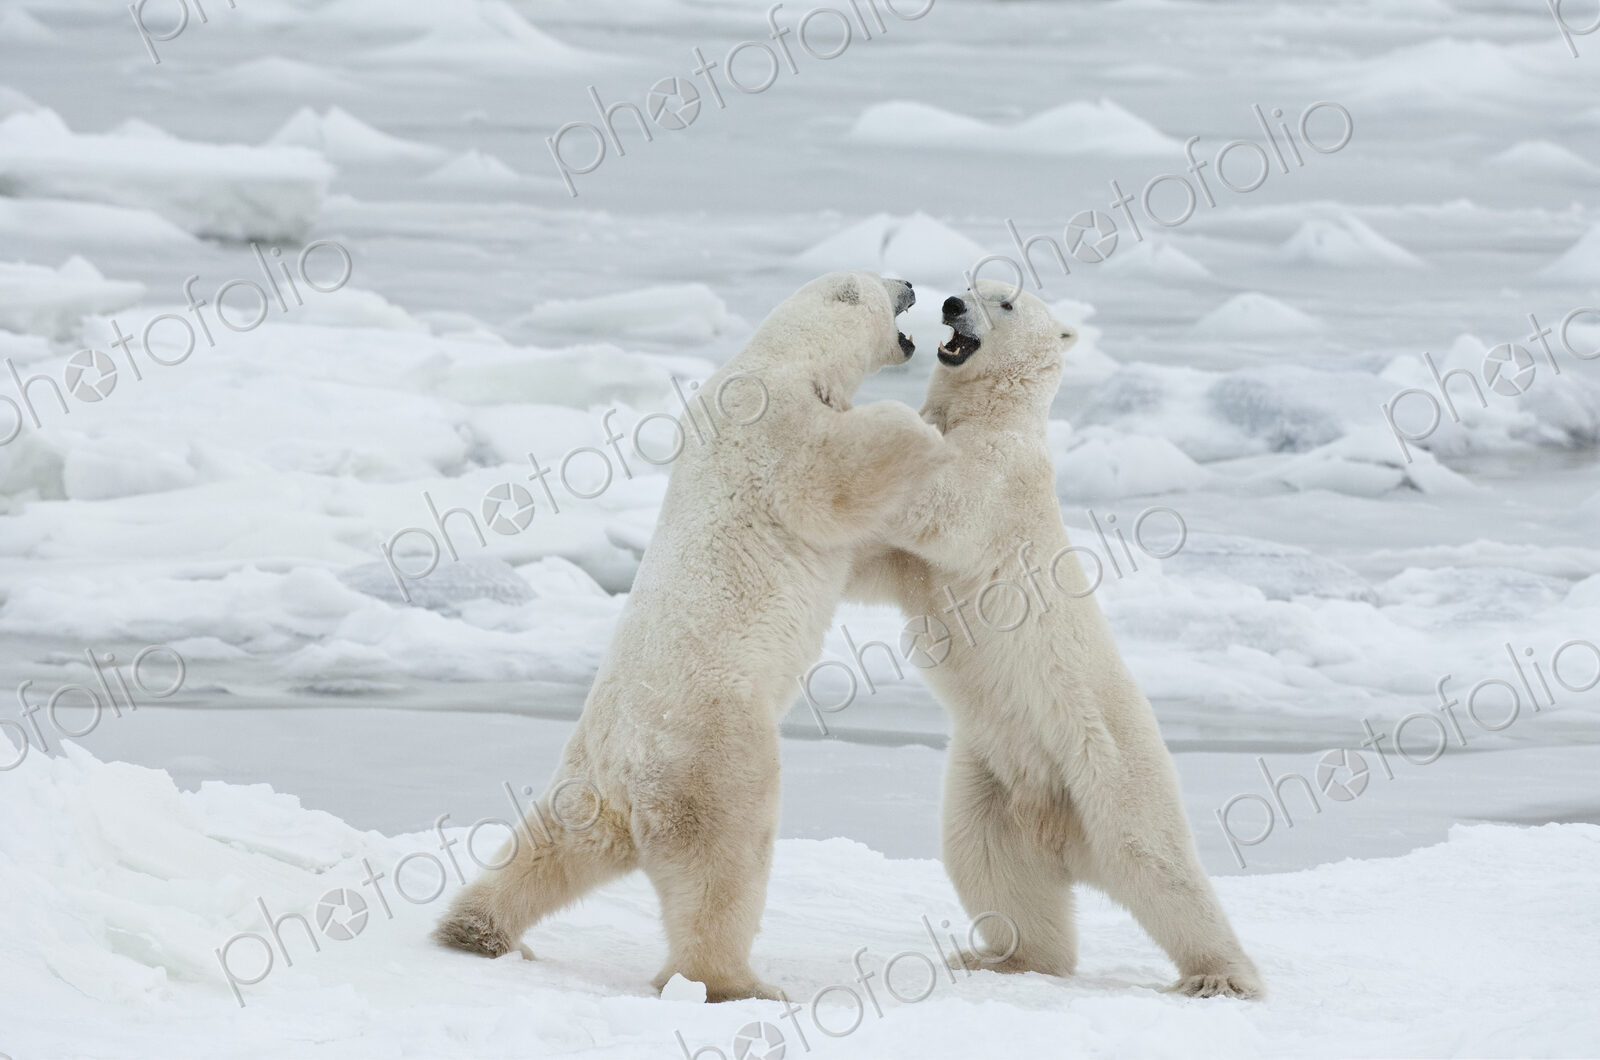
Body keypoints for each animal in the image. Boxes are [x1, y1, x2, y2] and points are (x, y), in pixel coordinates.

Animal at [432, 271, 945, 1003]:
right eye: (883, 285)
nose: (909, 284)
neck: (784, 355)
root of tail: (624, 773)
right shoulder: (773, 423)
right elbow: (832, 476)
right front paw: (925, 430)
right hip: (713, 750)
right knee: (726, 860)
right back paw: (737, 982)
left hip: (586, 781)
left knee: (551, 846)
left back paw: (477, 927)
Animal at [844, 280, 1263, 999]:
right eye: (969, 281)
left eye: (1004, 301)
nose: (952, 304)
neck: (996, 412)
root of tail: (1060, 831)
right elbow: (881, 560)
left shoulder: (1000, 478)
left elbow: (944, 504)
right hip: (991, 776)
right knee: (988, 862)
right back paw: (1004, 956)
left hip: (1109, 765)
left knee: (1159, 867)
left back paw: (1221, 976)